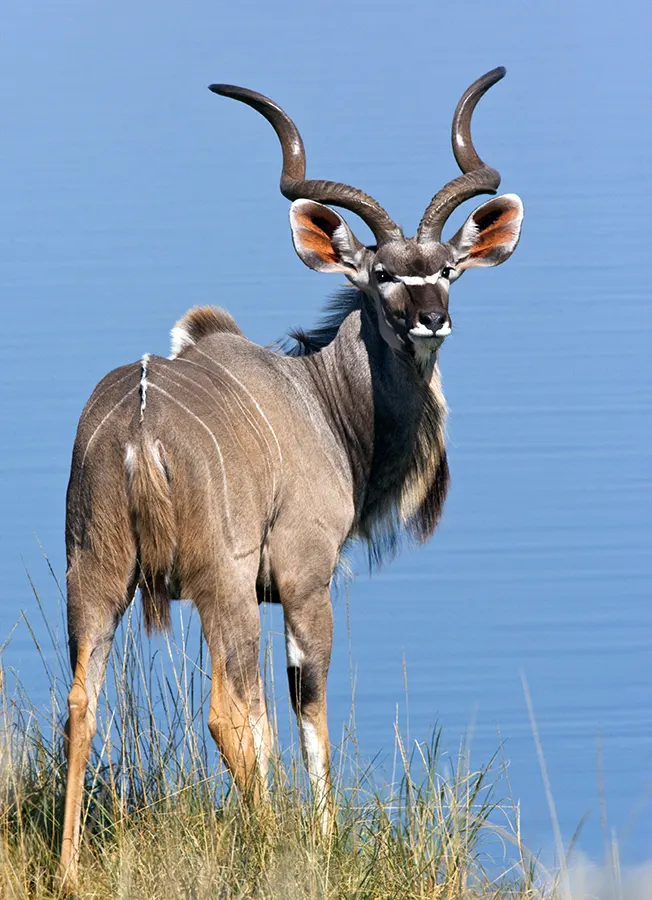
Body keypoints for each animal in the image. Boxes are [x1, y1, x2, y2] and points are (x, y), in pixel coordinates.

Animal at [61, 67, 524, 884]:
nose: (430, 319)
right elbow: (305, 707)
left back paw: (68, 873)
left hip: (94, 575)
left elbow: (269, 722)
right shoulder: (304, 581)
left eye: (446, 269)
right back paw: (269, 841)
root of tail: (139, 431)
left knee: (82, 703)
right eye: (381, 275)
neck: (319, 396)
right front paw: (320, 840)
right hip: (218, 586)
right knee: (225, 711)